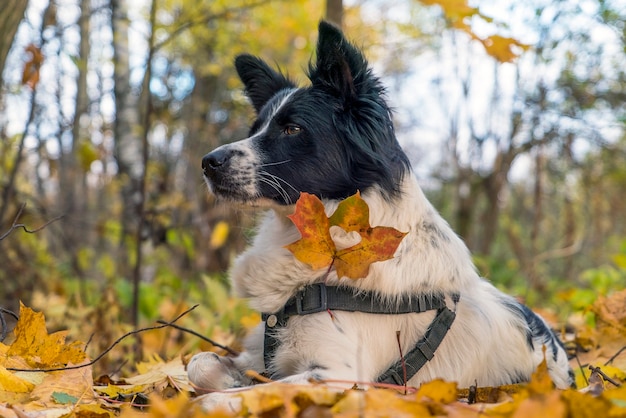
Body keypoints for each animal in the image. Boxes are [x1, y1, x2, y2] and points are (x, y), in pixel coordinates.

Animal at [188, 20, 572, 402]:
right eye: (255, 130)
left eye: (292, 128)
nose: (208, 162)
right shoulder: (261, 352)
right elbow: (199, 362)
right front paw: (228, 378)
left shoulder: (339, 377)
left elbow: (233, 396)